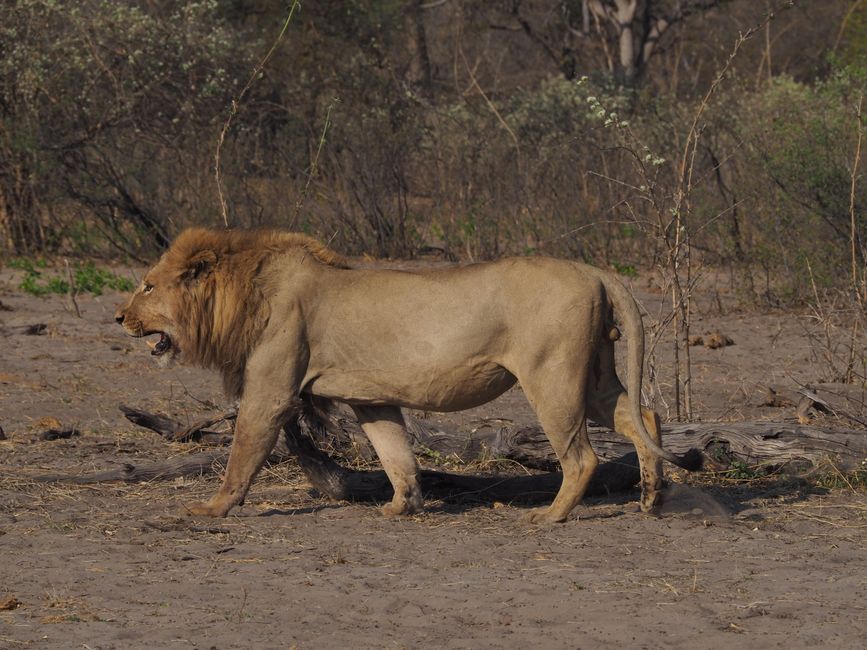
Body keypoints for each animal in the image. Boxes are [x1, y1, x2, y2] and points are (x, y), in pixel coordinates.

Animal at [113, 228, 700, 520]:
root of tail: (592, 268)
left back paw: (548, 517)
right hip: (594, 375)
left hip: (552, 377)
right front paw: (403, 506)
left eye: (147, 286)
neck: (245, 291)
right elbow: (394, 452)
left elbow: (242, 456)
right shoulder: (370, 397)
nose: (118, 317)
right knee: (645, 415)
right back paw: (651, 498)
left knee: (582, 457)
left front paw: (211, 509)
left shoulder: (271, 392)